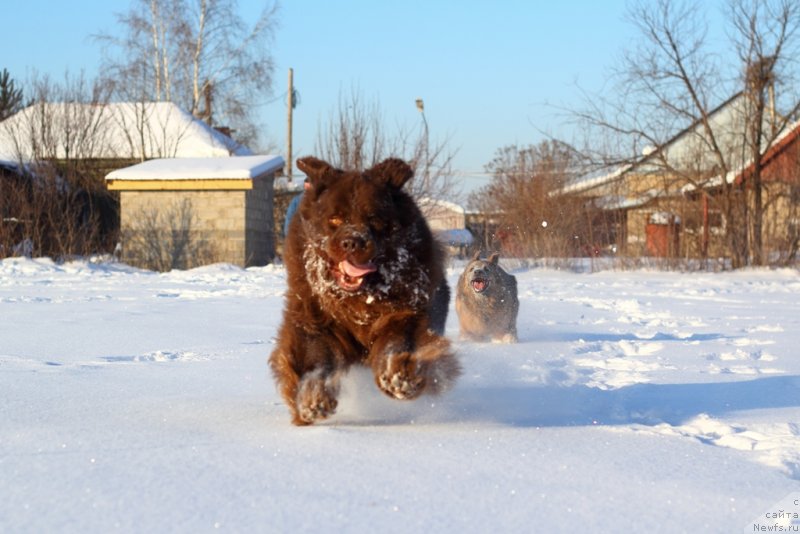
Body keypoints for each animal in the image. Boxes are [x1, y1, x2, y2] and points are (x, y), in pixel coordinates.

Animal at [268, 156, 460, 428]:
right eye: (335, 219)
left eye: (374, 219)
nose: (351, 241)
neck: (358, 299)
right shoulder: (312, 317)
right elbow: (313, 359)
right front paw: (313, 400)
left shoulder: (409, 310)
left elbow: (398, 339)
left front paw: (398, 376)